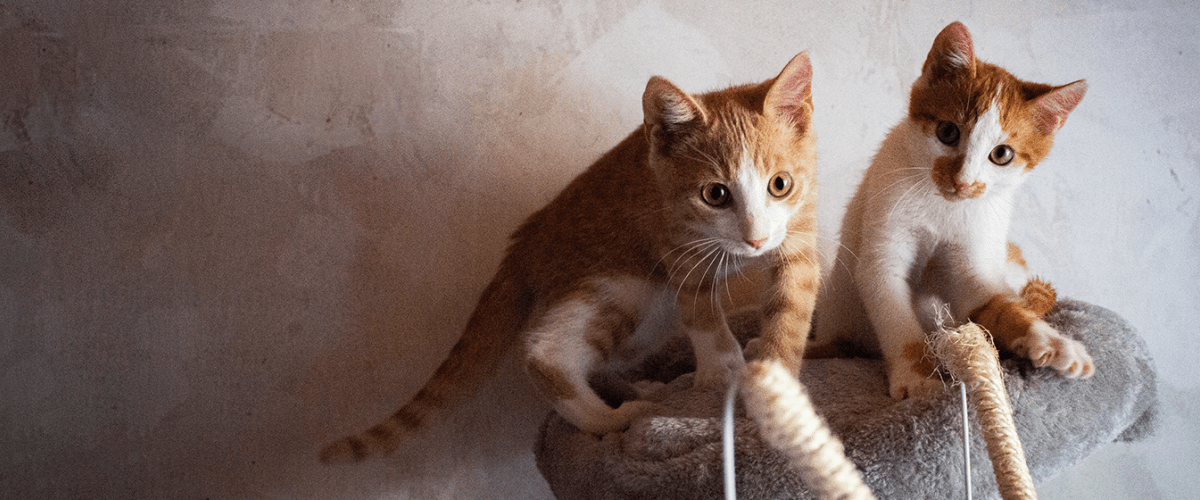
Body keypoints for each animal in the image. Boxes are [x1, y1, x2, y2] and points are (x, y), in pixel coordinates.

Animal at [321, 52, 825, 462]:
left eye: (780, 185)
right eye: (715, 195)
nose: (756, 240)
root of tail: (528, 236)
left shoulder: (799, 238)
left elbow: (791, 307)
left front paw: (776, 389)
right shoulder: (678, 246)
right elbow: (703, 316)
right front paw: (722, 373)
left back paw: (641, 384)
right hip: (625, 282)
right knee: (545, 351)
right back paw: (610, 417)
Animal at [816, 23, 1099, 400]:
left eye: (1002, 154)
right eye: (947, 132)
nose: (963, 182)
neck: (943, 208)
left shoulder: (972, 267)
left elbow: (995, 302)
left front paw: (1053, 342)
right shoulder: (880, 249)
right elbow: (896, 317)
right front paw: (918, 380)